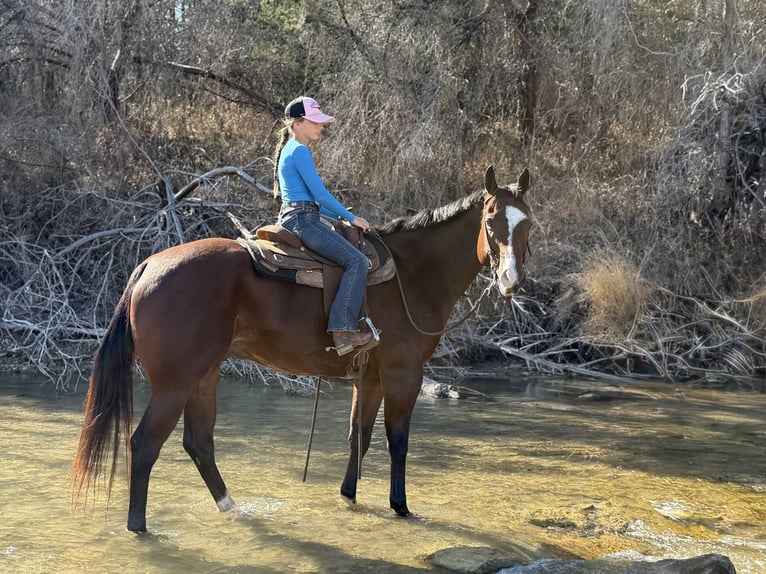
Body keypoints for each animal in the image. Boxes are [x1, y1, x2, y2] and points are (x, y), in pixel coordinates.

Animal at [72, 165, 532, 532]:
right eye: (492, 219)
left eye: (527, 223)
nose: (510, 280)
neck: (412, 274)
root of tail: (149, 264)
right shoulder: (404, 374)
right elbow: (397, 441)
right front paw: (400, 507)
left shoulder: (371, 378)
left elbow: (359, 437)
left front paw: (349, 496)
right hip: (175, 383)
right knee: (145, 444)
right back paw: (138, 527)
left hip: (204, 374)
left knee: (198, 443)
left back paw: (231, 507)